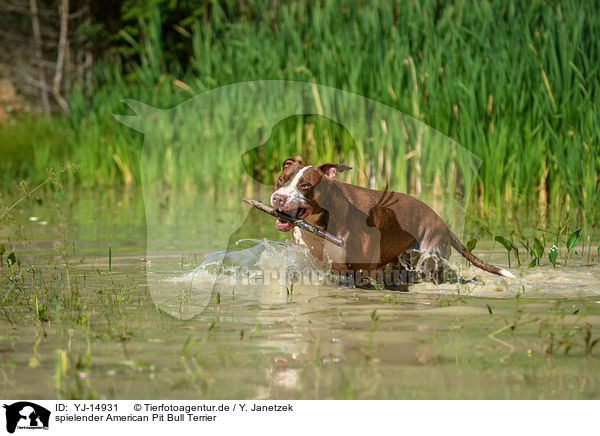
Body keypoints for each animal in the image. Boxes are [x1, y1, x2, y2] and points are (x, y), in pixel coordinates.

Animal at [272, 155, 516, 284]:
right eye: (281, 179)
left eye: (305, 185)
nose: (277, 198)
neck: (319, 224)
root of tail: (442, 222)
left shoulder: (361, 271)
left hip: (428, 255)